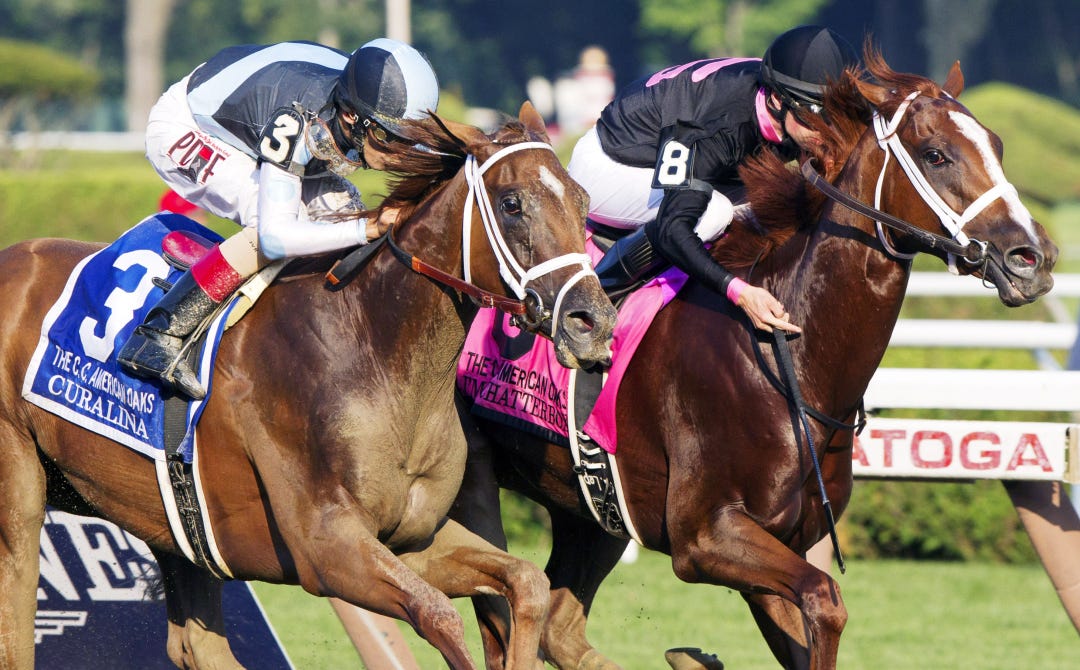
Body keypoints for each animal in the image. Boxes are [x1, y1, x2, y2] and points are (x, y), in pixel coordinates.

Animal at [0, 102, 617, 670]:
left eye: (583, 200)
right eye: (512, 204)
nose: (593, 322)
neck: (374, 350)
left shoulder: (409, 539)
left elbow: (526, 583)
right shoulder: (327, 549)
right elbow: (439, 614)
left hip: (162, 517)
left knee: (197, 644)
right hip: (22, 491)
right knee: (16, 620)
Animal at [451, 52, 1058, 669]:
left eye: (997, 144)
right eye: (936, 155)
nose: (1033, 257)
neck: (788, 362)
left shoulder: (778, 540)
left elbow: (812, 617)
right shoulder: (707, 536)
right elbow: (826, 599)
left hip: (593, 508)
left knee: (558, 621)